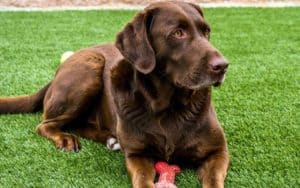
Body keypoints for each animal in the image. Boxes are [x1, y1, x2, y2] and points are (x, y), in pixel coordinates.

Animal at [0, 1, 230, 188]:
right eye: (178, 33)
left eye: (206, 32)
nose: (223, 66)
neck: (168, 105)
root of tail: (59, 70)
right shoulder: (137, 155)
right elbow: (143, 180)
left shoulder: (218, 151)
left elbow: (213, 180)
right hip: (91, 67)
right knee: (45, 124)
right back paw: (66, 139)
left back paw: (111, 139)